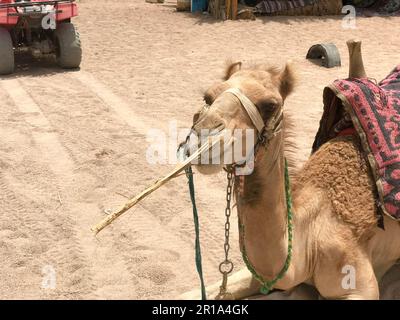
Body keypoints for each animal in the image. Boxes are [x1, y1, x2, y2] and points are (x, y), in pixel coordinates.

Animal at [181, 41, 400, 298]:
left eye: (270, 105)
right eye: (208, 96)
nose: (204, 136)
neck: (309, 240)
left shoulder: (360, 284)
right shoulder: (264, 274)